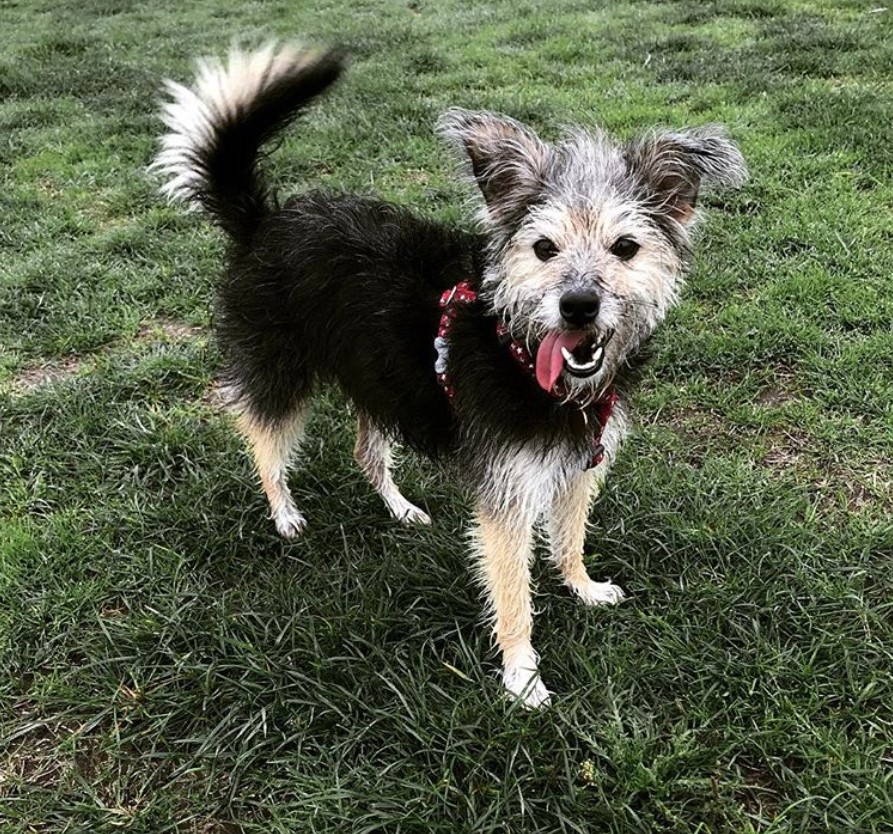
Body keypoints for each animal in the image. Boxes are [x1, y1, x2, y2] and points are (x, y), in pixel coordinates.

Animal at [153, 42, 744, 704]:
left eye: (625, 248)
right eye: (544, 248)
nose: (579, 306)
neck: (520, 354)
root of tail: (265, 221)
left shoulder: (578, 466)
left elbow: (570, 538)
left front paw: (583, 588)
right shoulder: (506, 495)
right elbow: (513, 594)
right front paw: (522, 677)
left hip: (380, 378)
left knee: (366, 450)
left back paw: (400, 507)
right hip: (280, 368)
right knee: (264, 441)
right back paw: (284, 513)